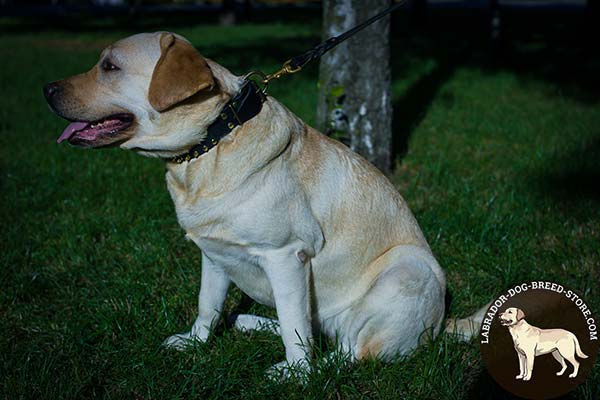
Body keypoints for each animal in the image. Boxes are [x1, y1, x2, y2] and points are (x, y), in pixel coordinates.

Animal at [44, 32, 480, 378]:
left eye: (110, 66)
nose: (46, 89)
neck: (211, 143)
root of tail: (441, 326)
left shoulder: (286, 256)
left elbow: (293, 326)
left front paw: (297, 375)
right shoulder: (214, 254)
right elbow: (208, 306)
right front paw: (196, 343)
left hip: (408, 269)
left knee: (350, 350)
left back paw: (308, 363)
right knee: (316, 328)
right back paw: (247, 319)